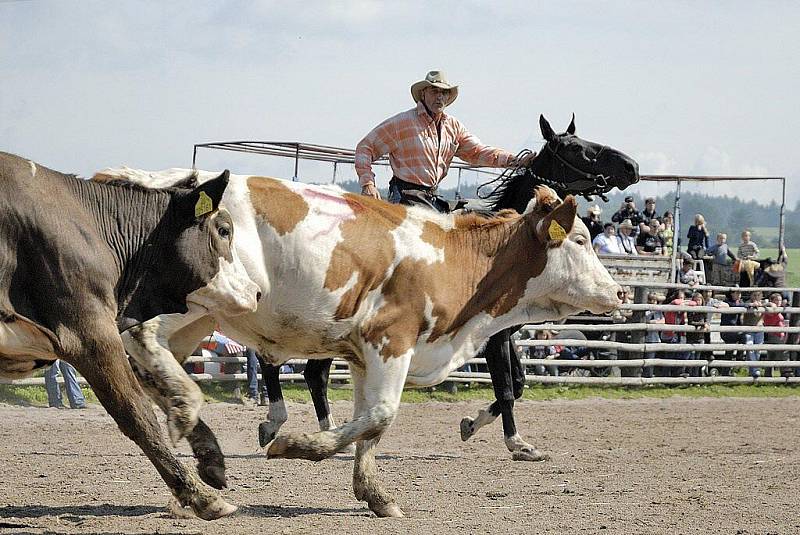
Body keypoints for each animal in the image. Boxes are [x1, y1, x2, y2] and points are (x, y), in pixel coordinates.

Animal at [0, 153, 258, 520]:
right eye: (223, 230)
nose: (256, 292)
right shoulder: (91, 332)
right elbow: (136, 412)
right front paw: (199, 495)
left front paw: (209, 459)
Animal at [95, 169, 620, 520]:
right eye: (579, 238)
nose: (618, 293)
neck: (457, 260)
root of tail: (182, 181)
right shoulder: (391, 339)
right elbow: (380, 415)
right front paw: (298, 445)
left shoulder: (368, 354)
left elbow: (370, 423)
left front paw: (375, 494)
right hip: (198, 298)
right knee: (140, 336)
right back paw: (190, 416)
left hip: (204, 316)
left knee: (155, 360)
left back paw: (198, 459)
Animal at [256, 116, 636, 460]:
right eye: (576, 148)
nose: (631, 167)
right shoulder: (492, 337)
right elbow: (507, 387)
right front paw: (516, 444)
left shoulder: (503, 333)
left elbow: (518, 383)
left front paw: (473, 423)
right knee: (284, 362)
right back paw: (279, 423)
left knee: (311, 372)